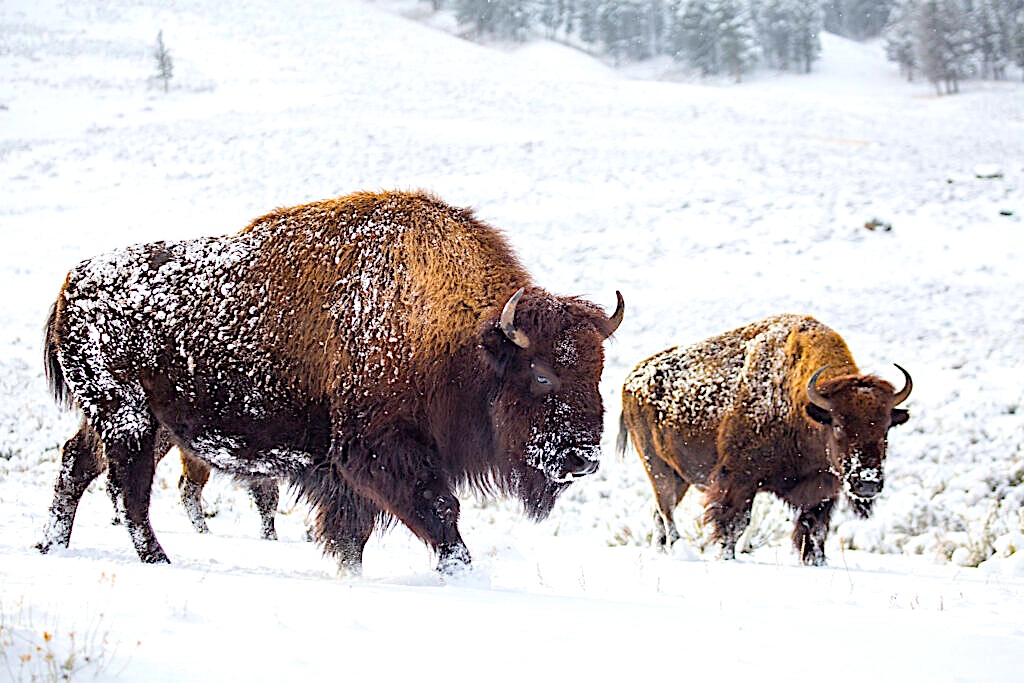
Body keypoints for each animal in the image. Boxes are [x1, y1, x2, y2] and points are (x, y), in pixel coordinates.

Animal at [39, 190, 623, 574]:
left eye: (598, 371)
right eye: (542, 374)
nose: (582, 459)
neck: (456, 334)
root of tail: (72, 281)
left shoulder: (347, 472)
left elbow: (353, 536)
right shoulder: (380, 455)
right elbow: (438, 514)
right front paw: (458, 572)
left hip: (150, 424)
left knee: (78, 464)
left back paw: (51, 547)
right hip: (127, 417)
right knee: (127, 489)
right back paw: (157, 561)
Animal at [618, 314, 910, 565]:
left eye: (886, 427)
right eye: (837, 425)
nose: (867, 483)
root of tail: (632, 379)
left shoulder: (823, 491)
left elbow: (814, 532)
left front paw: (816, 562)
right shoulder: (738, 480)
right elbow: (734, 524)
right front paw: (726, 557)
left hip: (679, 476)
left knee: (658, 514)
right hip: (657, 467)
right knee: (666, 510)